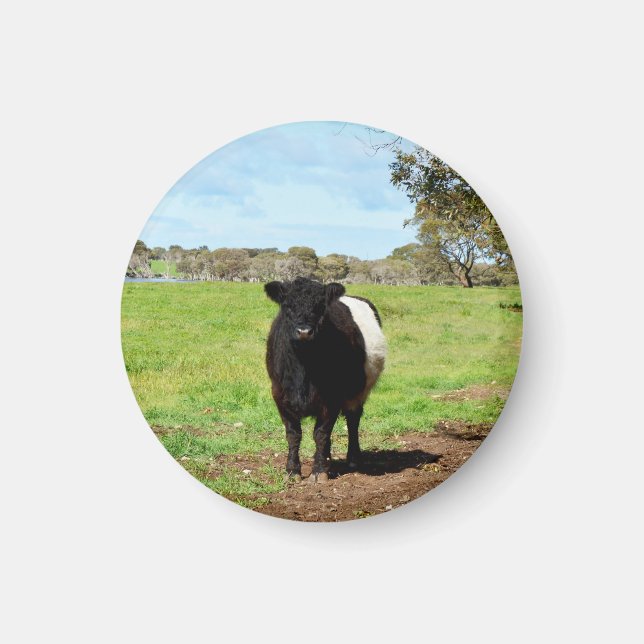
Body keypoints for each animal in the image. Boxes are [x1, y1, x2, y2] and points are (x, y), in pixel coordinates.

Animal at [264, 277, 386, 483]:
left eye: (320, 307)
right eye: (287, 305)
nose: (304, 331)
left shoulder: (331, 398)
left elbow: (320, 433)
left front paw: (319, 471)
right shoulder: (280, 395)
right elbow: (293, 434)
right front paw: (292, 471)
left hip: (359, 391)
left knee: (352, 421)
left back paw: (353, 459)